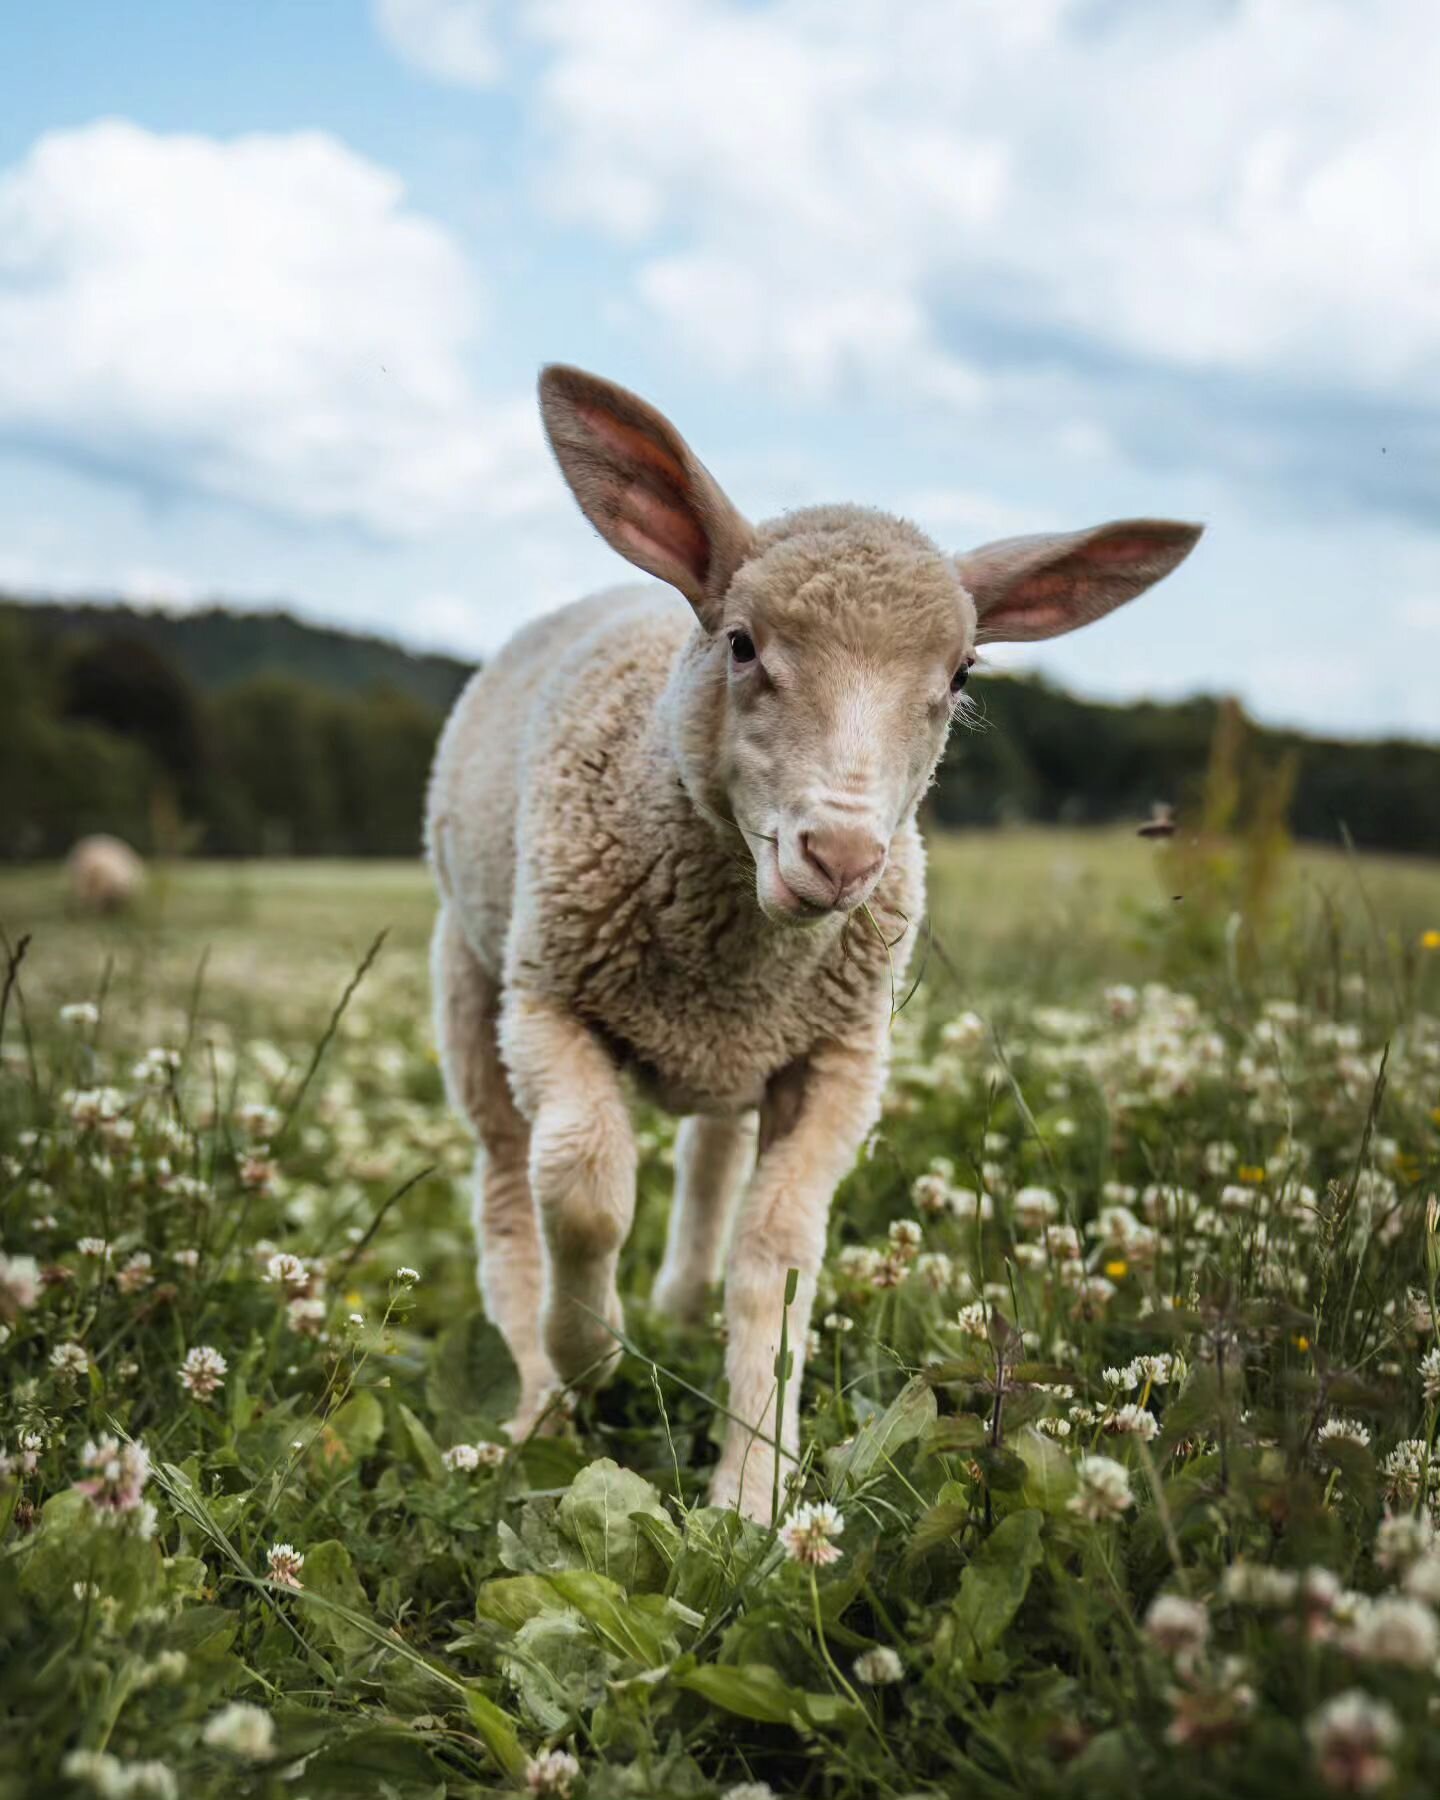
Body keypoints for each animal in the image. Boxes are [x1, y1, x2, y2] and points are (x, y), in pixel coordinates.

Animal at [430, 365, 1202, 1519]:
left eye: (962, 677)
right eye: (743, 644)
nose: (840, 856)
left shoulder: (839, 1057)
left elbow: (778, 1253)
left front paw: (754, 1489)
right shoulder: (550, 999)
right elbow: (585, 1187)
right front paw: (590, 1353)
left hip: (730, 1052)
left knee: (710, 1155)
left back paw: (678, 1298)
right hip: (472, 977)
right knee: (506, 1182)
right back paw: (533, 1399)